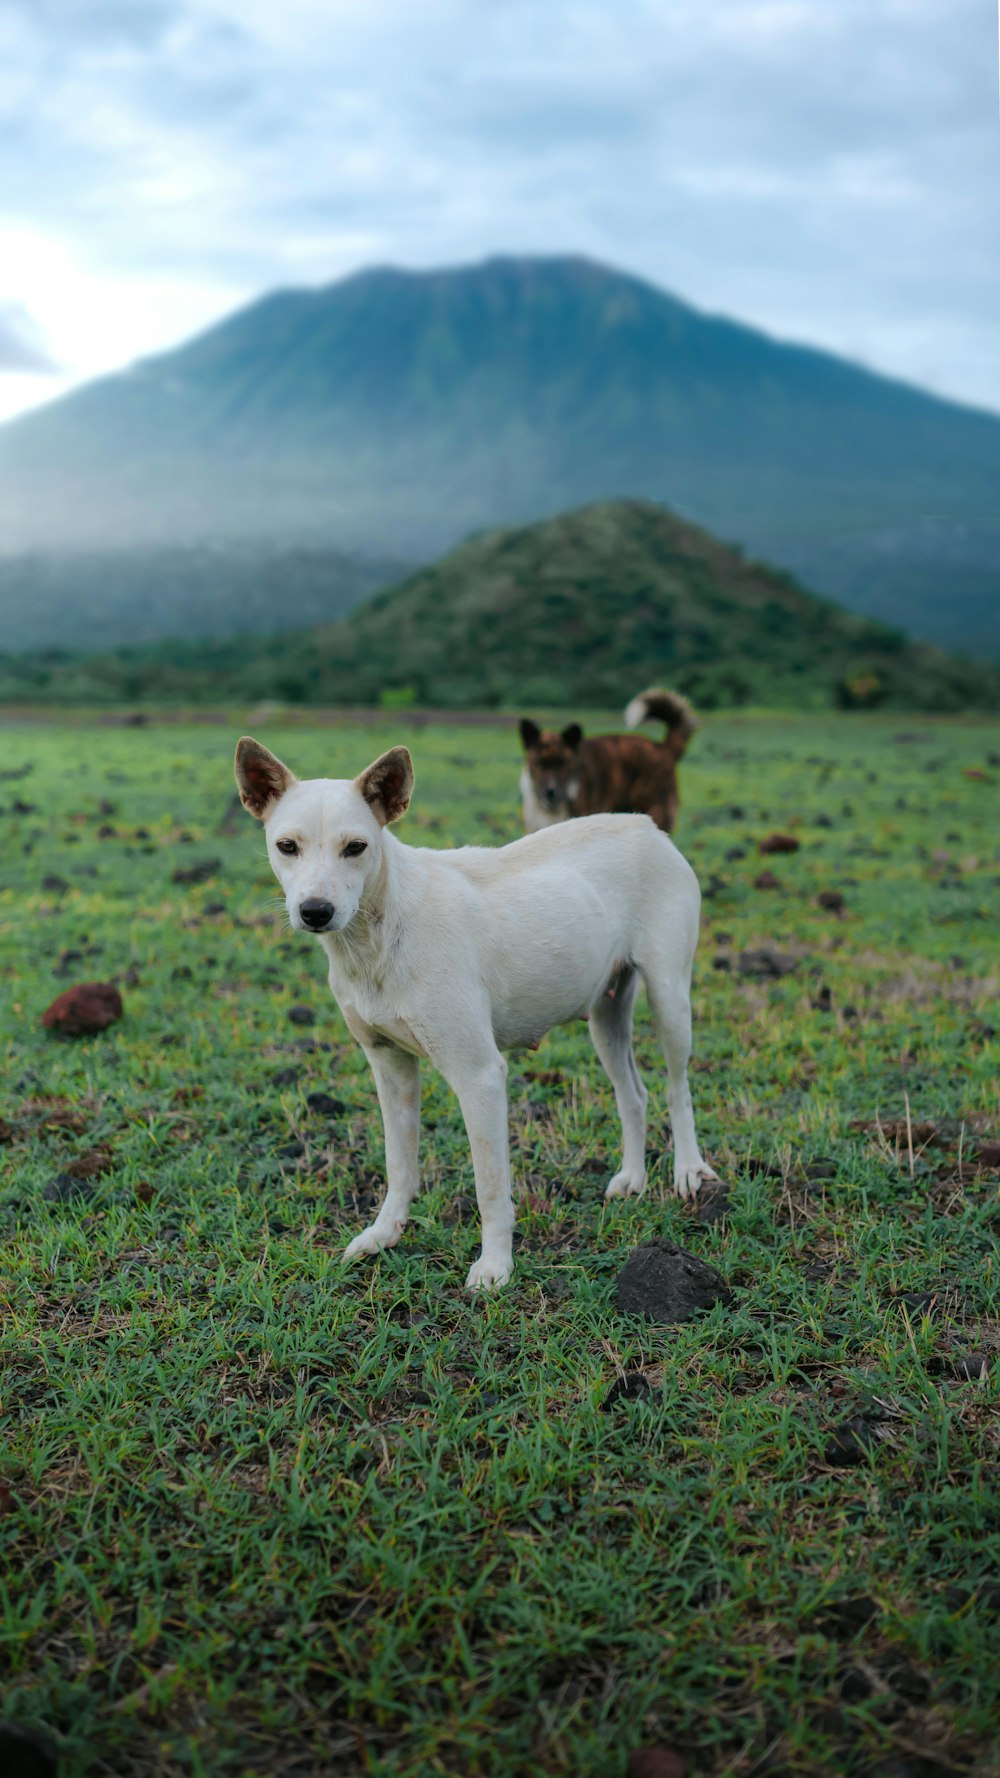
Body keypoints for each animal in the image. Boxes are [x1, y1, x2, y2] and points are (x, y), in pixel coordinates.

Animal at [234, 736, 715, 1294]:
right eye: (286, 846)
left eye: (356, 848)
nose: (315, 911)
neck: (380, 931)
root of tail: (645, 825)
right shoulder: (389, 1066)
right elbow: (399, 1164)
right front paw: (384, 1234)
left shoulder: (480, 1076)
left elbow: (490, 1188)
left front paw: (495, 1267)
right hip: (606, 1014)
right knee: (633, 1093)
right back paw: (632, 1179)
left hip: (670, 998)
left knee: (677, 1088)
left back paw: (688, 1170)